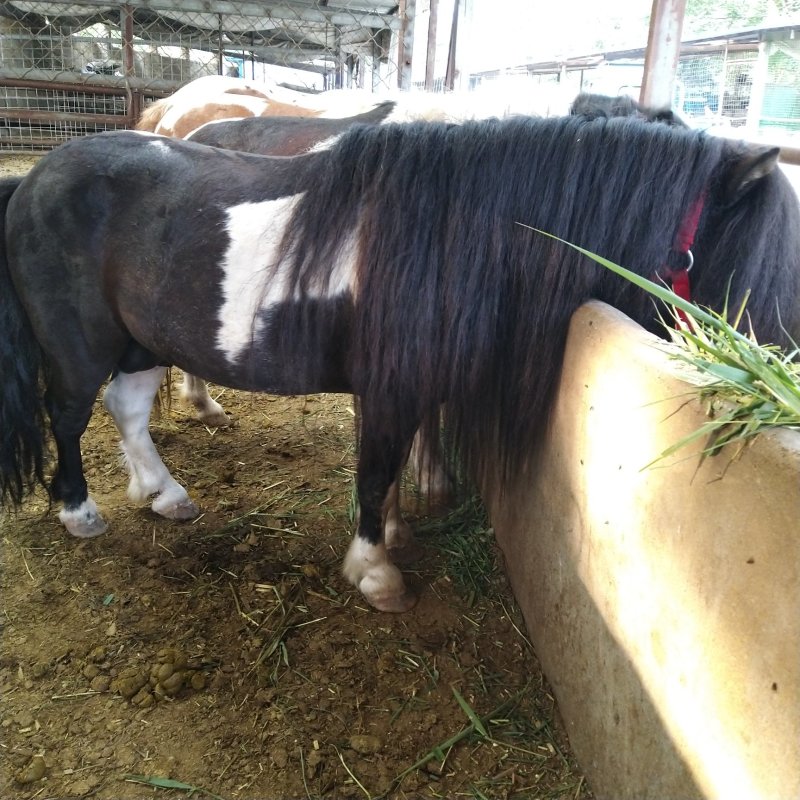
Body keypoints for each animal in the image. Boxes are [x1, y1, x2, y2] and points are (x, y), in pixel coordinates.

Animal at [2, 116, 798, 612]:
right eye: (744, 264)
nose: (775, 370)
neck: (451, 235)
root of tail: (33, 179)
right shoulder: (388, 390)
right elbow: (375, 468)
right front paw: (376, 573)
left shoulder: (405, 391)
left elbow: (390, 471)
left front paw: (390, 536)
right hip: (79, 348)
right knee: (69, 418)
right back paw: (81, 512)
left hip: (141, 342)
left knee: (128, 411)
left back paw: (163, 494)